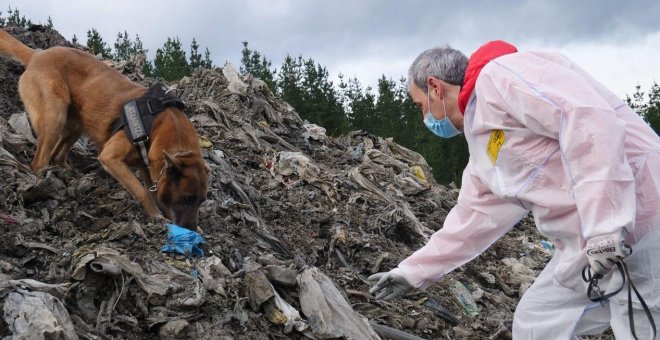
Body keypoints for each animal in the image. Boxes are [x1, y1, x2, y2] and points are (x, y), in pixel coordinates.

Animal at [0, 29, 208, 230]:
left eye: (201, 201)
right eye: (187, 199)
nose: (191, 228)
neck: (158, 126)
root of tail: (37, 54)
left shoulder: (150, 170)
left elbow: (154, 192)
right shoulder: (111, 158)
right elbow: (141, 190)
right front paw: (156, 216)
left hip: (78, 122)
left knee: (57, 155)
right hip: (55, 115)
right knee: (39, 161)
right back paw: (45, 182)